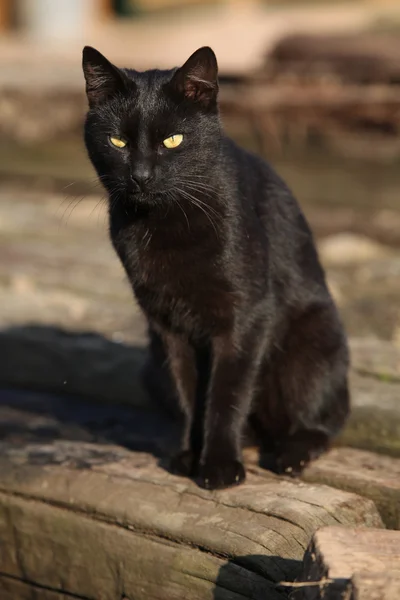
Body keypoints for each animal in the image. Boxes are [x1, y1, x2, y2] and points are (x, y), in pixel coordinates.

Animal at [82, 45, 350, 488]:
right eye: (117, 141)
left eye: (172, 140)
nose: (140, 176)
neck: (165, 224)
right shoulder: (167, 326)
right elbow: (189, 395)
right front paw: (190, 455)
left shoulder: (245, 316)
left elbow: (226, 393)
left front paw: (221, 466)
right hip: (150, 365)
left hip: (313, 343)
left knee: (324, 421)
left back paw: (290, 454)